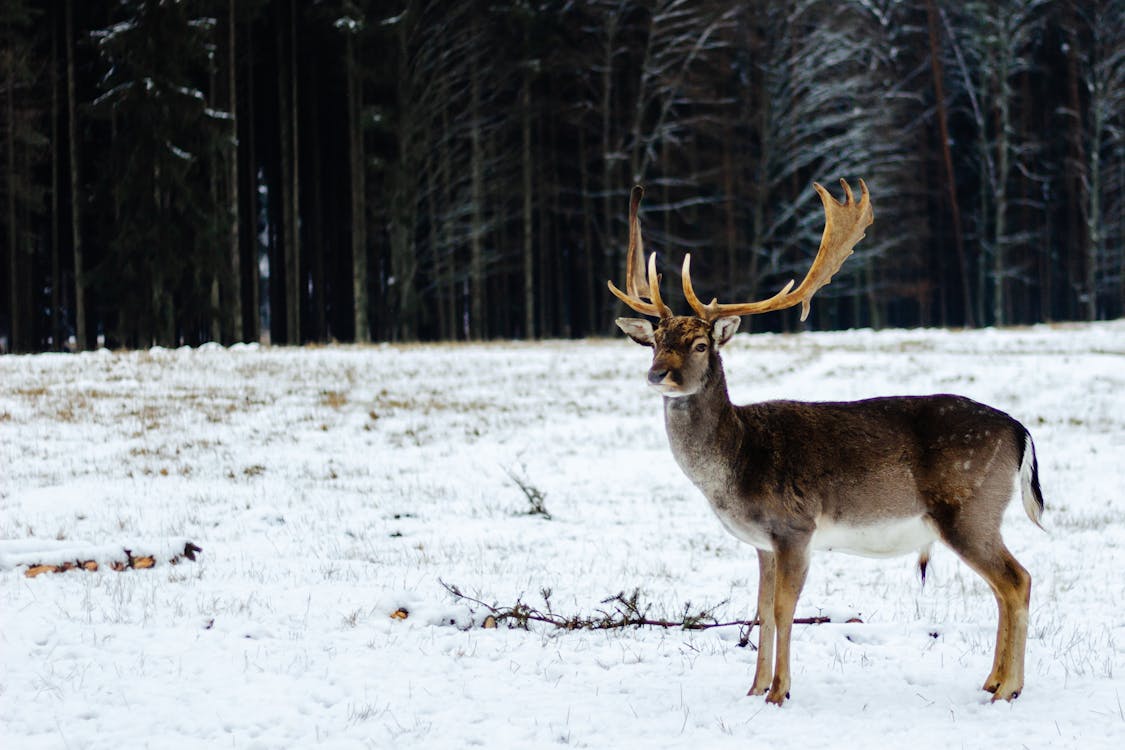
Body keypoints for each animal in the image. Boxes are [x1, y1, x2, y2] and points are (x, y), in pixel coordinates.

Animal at [607, 178, 1044, 706]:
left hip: (969, 508)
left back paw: (1008, 689)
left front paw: (779, 693)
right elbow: (760, 609)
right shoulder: (763, 543)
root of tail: (1020, 431)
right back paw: (993, 681)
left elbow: (782, 610)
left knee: (1017, 580)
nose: (658, 375)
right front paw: (754, 688)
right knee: (1004, 587)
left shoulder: (795, 526)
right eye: (656, 341)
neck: (735, 463)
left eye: (700, 344)